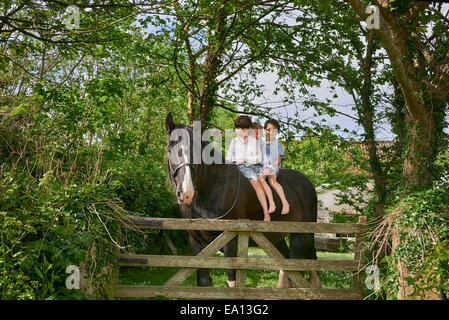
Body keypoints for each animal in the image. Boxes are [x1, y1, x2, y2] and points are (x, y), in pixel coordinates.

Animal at [163, 112, 320, 288]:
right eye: (169, 150)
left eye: (196, 152)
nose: (186, 193)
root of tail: (307, 182)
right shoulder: (196, 242)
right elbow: (203, 281)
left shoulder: (231, 241)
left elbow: (232, 281)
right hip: (275, 236)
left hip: (305, 234)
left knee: (312, 263)